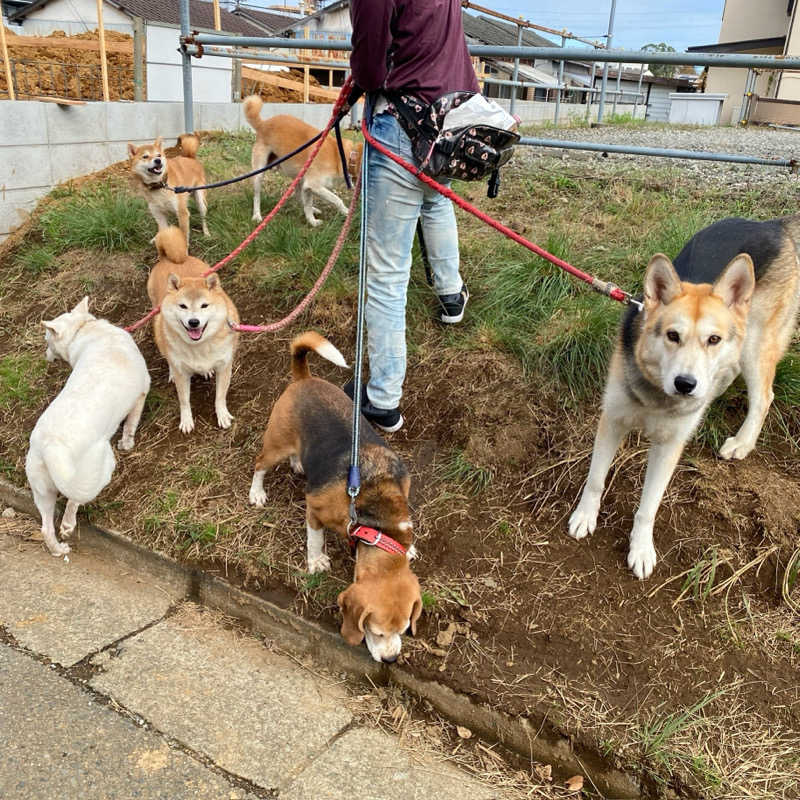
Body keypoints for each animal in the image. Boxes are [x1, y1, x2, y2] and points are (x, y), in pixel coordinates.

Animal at [25, 296, 150, 552]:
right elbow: (131, 425)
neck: (84, 328)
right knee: (75, 500)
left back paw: (58, 549)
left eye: (46, 340)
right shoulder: (142, 392)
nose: (44, 355)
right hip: (92, 472)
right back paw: (68, 525)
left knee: (46, 528)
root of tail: (50, 445)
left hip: (43, 492)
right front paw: (127, 444)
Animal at [147, 225, 239, 434]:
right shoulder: (183, 374)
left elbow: (220, 396)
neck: (200, 346)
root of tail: (168, 259)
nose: (194, 322)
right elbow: (184, 401)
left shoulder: (224, 366)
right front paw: (186, 420)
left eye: (204, 305)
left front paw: (222, 415)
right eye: (183, 306)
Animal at [239, 98, 360, 228]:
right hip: (259, 173)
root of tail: (263, 124)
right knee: (257, 196)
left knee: (298, 195)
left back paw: (314, 209)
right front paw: (346, 212)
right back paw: (257, 216)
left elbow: (307, 204)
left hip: (299, 174)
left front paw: (311, 220)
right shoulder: (313, 184)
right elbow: (336, 199)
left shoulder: (308, 186)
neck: (342, 156)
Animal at [250, 332, 424, 664]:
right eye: (375, 632)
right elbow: (315, 539)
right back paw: (257, 492)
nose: (391, 660)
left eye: (404, 628)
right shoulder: (316, 509)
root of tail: (304, 378)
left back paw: (299, 464)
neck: (379, 525)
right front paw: (316, 561)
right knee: (259, 464)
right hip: (276, 443)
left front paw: (409, 550)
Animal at [568, 217, 800, 580]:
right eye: (672, 335)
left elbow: (648, 506)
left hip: (755, 343)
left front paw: (641, 548)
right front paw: (584, 516)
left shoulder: (669, 446)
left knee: (764, 395)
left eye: (712, 339)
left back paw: (742, 441)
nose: (686, 384)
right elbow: (595, 479)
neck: (657, 394)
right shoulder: (613, 421)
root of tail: (773, 224)